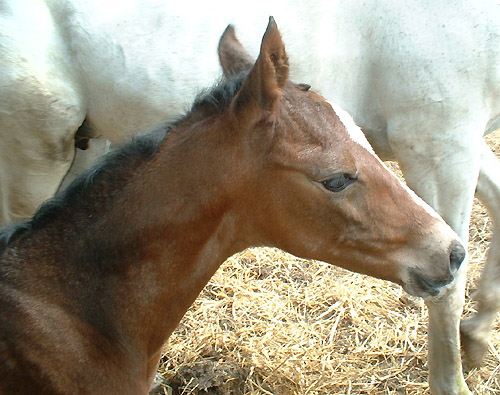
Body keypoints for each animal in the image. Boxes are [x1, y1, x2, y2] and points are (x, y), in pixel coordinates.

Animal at [2, 1, 500, 394]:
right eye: (336, 180)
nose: (451, 252)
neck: (78, 319)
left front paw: (477, 336)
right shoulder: (438, 142)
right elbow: (449, 298)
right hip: (35, 153)